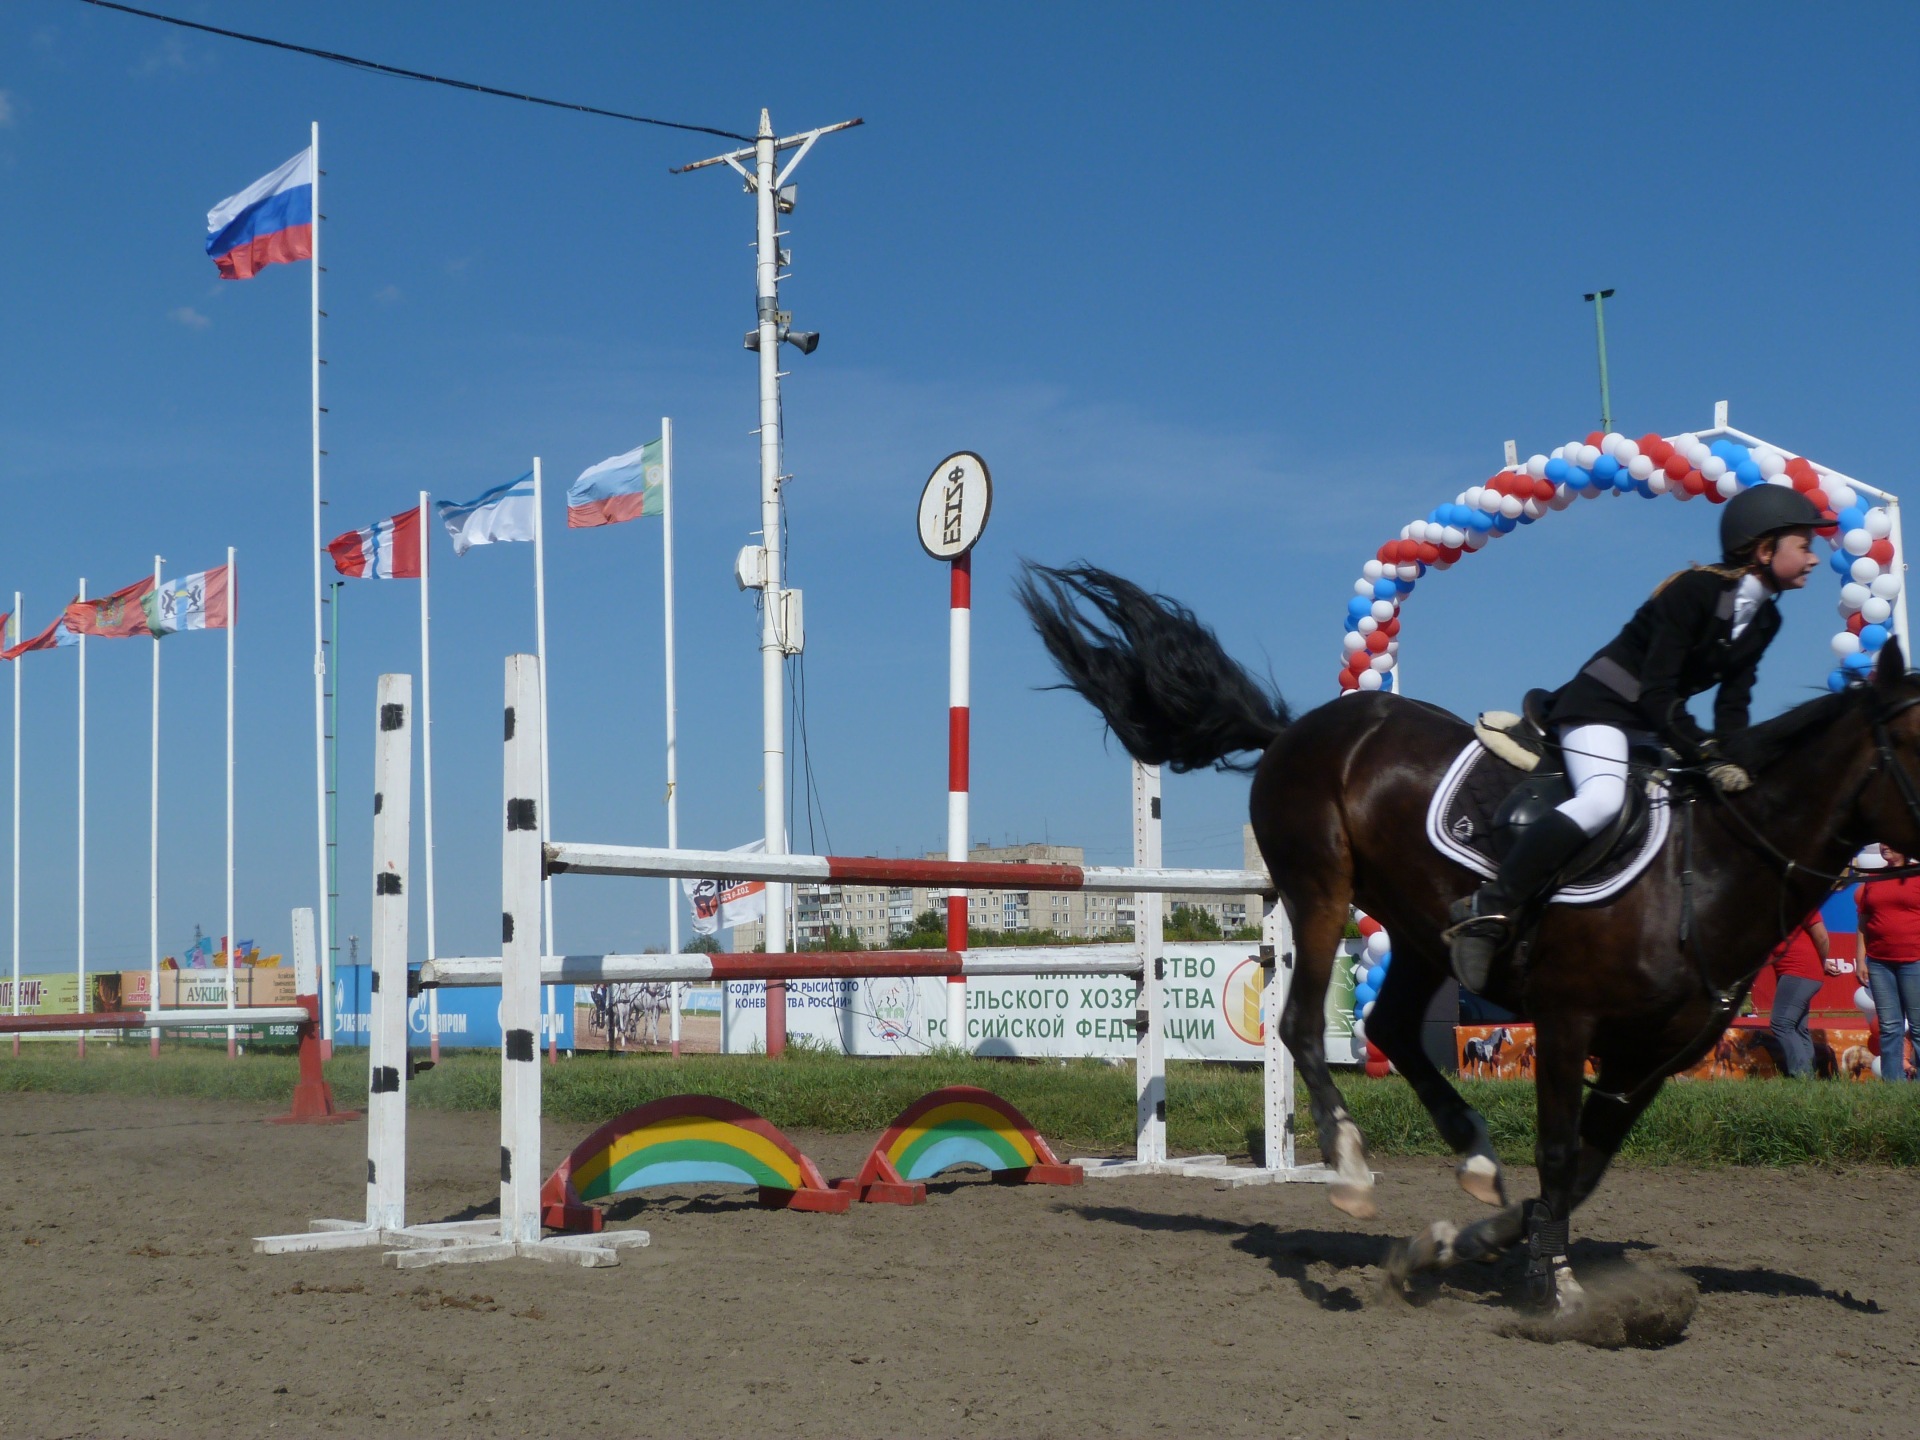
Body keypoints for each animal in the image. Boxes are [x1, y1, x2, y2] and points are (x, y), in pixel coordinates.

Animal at [1019, 562, 1920, 1310]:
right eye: (1915, 739)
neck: (1710, 868)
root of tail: (1294, 730)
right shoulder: (1568, 1022)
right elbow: (1558, 1155)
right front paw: (1554, 1292)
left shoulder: (1653, 1059)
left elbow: (1584, 1169)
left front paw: (1464, 1246)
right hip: (1320, 891)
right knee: (1303, 1025)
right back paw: (1350, 1167)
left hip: (1420, 930)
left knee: (1389, 1027)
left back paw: (1475, 1158)